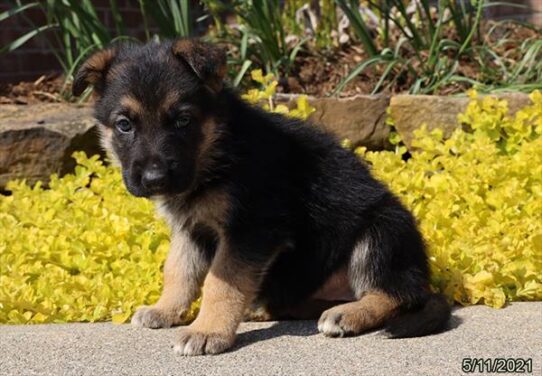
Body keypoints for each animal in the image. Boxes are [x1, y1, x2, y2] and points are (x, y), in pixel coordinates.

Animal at [73, 38, 454, 356]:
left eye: (182, 120)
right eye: (124, 125)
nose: (154, 180)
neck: (218, 151)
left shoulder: (251, 229)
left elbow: (220, 282)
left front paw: (207, 331)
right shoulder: (190, 229)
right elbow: (179, 270)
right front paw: (166, 310)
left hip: (382, 230)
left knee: (397, 293)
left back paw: (349, 313)